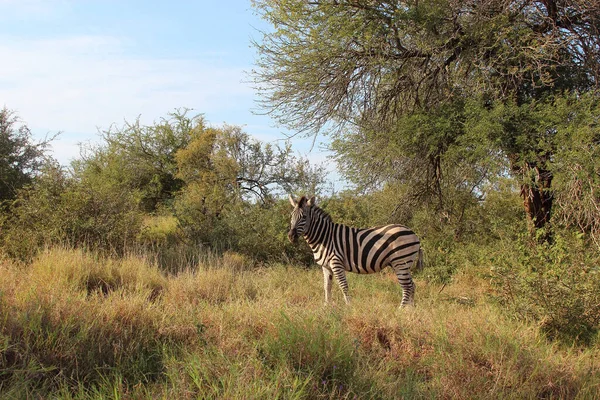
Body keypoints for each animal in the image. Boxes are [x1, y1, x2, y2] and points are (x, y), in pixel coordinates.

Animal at [288, 195, 422, 308]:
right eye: (291, 216)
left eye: (304, 217)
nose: (291, 236)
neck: (324, 237)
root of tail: (413, 233)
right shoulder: (326, 266)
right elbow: (327, 286)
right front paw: (326, 306)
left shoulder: (336, 262)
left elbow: (343, 285)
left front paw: (348, 306)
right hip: (402, 264)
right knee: (412, 285)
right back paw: (410, 309)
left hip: (401, 261)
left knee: (407, 286)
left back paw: (401, 310)